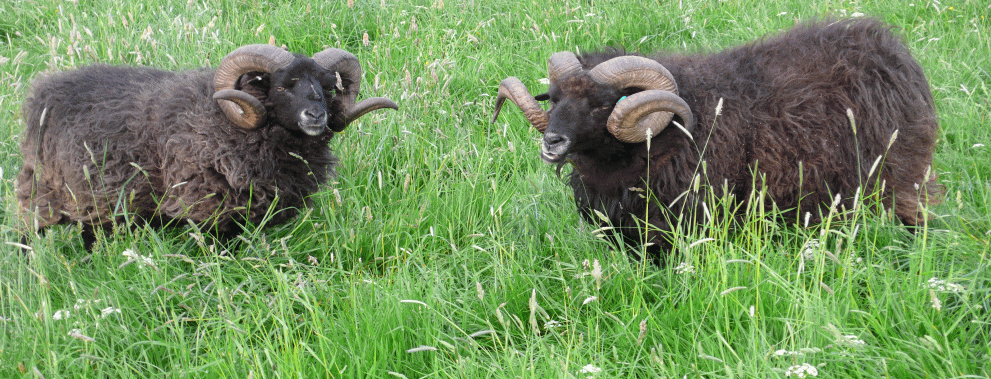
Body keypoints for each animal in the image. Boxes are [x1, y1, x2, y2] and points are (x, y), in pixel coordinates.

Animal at [19, 43, 400, 249]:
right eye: (282, 85)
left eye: (327, 87)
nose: (316, 115)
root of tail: (43, 92)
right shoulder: (209, 213)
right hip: (44, 193)